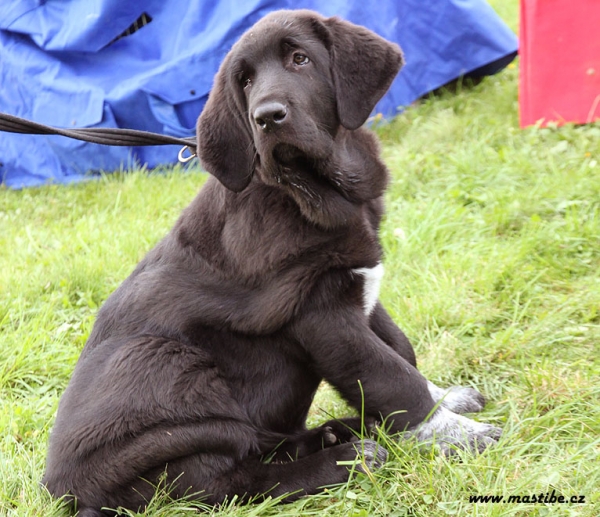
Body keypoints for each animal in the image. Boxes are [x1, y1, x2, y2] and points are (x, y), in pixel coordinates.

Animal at [43, 9, 502, 516]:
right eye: (244, 81)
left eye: (300, 59)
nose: (267, 117)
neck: (315, 189)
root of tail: (65, 492)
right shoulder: (319, 312)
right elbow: (390, 374)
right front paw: (454, 433)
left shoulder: (357, 286)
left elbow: (399, 349)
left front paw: (446, 400)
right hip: (161, 366)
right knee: (232, 481)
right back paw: (345, 458)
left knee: (263, 447)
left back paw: (339, 432)